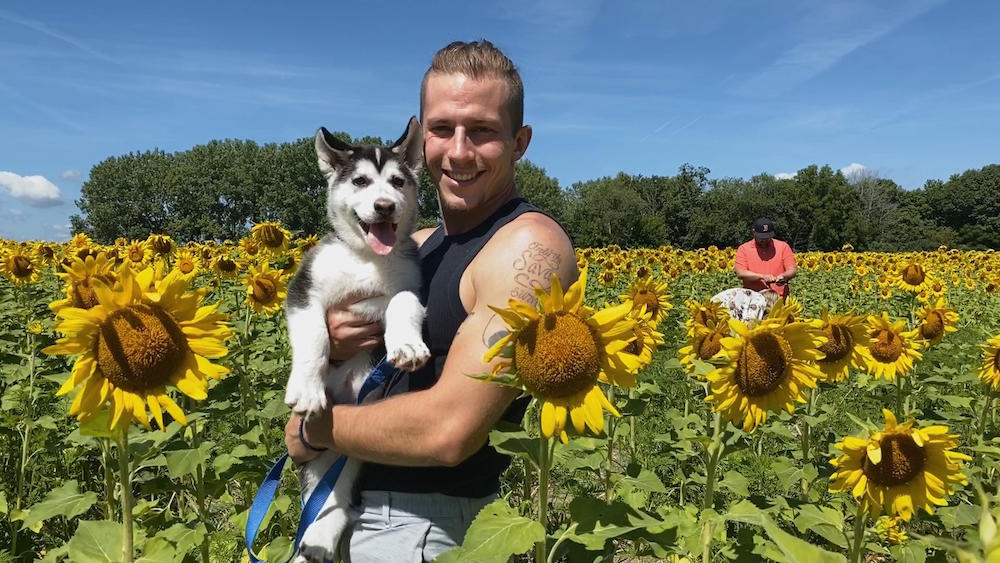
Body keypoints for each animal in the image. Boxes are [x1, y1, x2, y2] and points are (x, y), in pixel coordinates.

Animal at [284, 117, 428, 560]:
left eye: (398, 182)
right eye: (361, 181)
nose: (384, 206)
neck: (367, 259)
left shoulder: (411, 285)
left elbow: (401, 300)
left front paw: (407, 345)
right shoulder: (303, 291)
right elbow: (316, 337)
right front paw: (307, 388)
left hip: (351, 451)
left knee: (342, 504)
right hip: (323, 457)